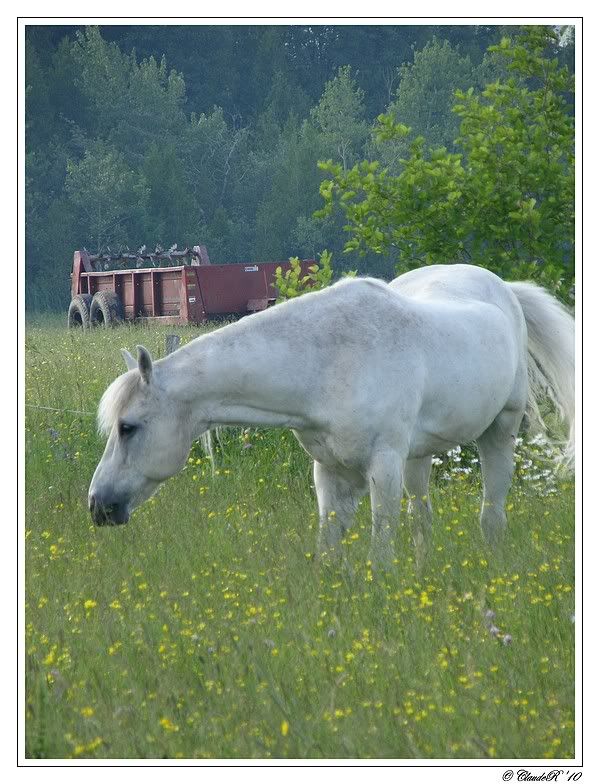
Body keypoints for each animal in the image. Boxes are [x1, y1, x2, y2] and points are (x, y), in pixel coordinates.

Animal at [88, 266, 572, 568]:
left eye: (128, 427)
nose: (97, 506)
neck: (329, 361)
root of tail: (502, 287)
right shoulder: (330, 471)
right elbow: (329, 551)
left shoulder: (383, 469)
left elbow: (381, 552)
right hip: (418, 457)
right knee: (423, 519)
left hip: (499, 432)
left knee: (491, 515)